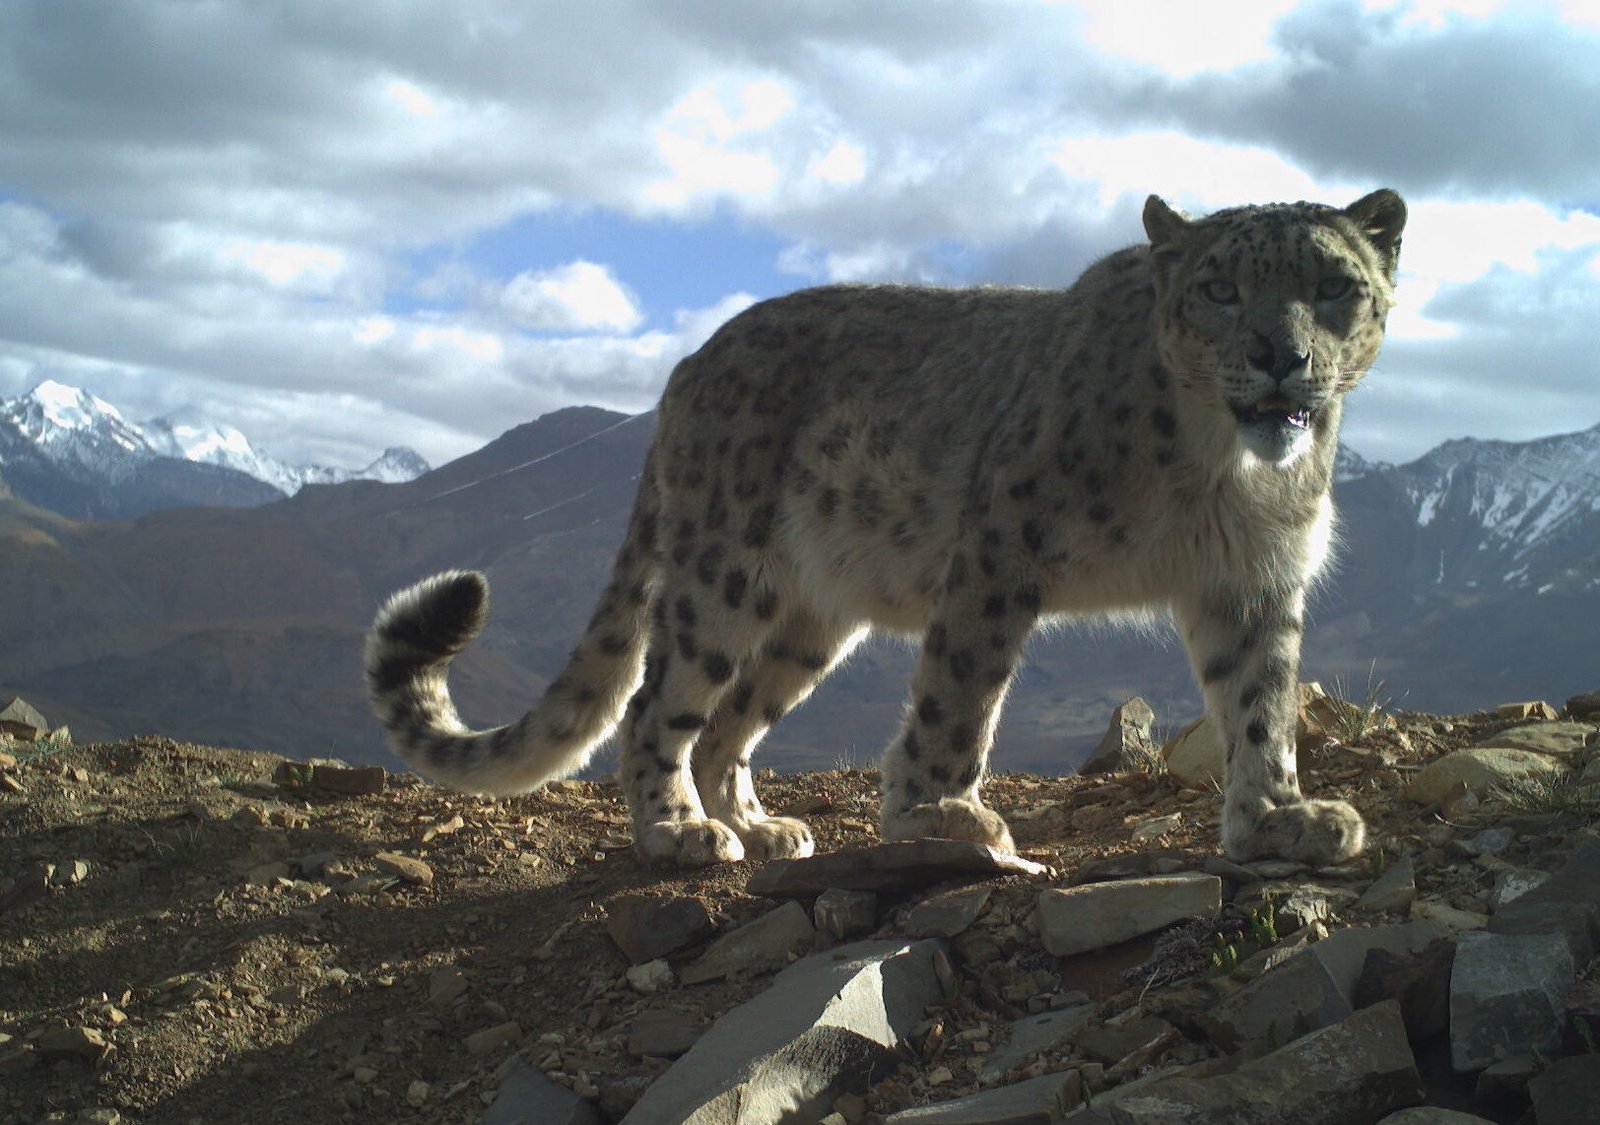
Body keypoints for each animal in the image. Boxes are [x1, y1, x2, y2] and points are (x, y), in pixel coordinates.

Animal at [365, 188, 1406, 870]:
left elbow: (1262, 701)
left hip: (811, 618)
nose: (1280, 355)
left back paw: (761, 825)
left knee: (728, 722)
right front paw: (941, 813)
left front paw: (1280, 817)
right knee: (658, 704)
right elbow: (963, 692)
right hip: (721, 574)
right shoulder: (1004, 542)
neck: (1225, 473)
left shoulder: (1254, 578)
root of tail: (684, 371)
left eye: (1333, 285)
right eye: (1220, 290)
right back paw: (678, 831)